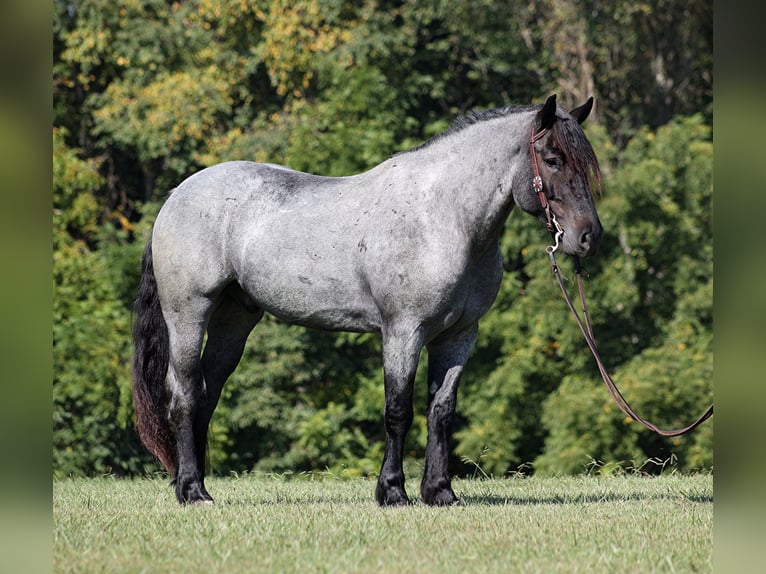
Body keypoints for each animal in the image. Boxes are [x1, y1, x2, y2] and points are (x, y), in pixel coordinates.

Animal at [134, 94, 608, 508]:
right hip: (188, 315)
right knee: (184, 395)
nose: (589, 237)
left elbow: (442, 411)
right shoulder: (403, 331)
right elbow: (398, 410)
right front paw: (393, 492)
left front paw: (440, 492)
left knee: (206, 395)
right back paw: (193, 492)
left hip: (234, 321)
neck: (443, 217)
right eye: (553, 159)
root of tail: (177, 196)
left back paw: (191, 483)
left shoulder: (458, 335)